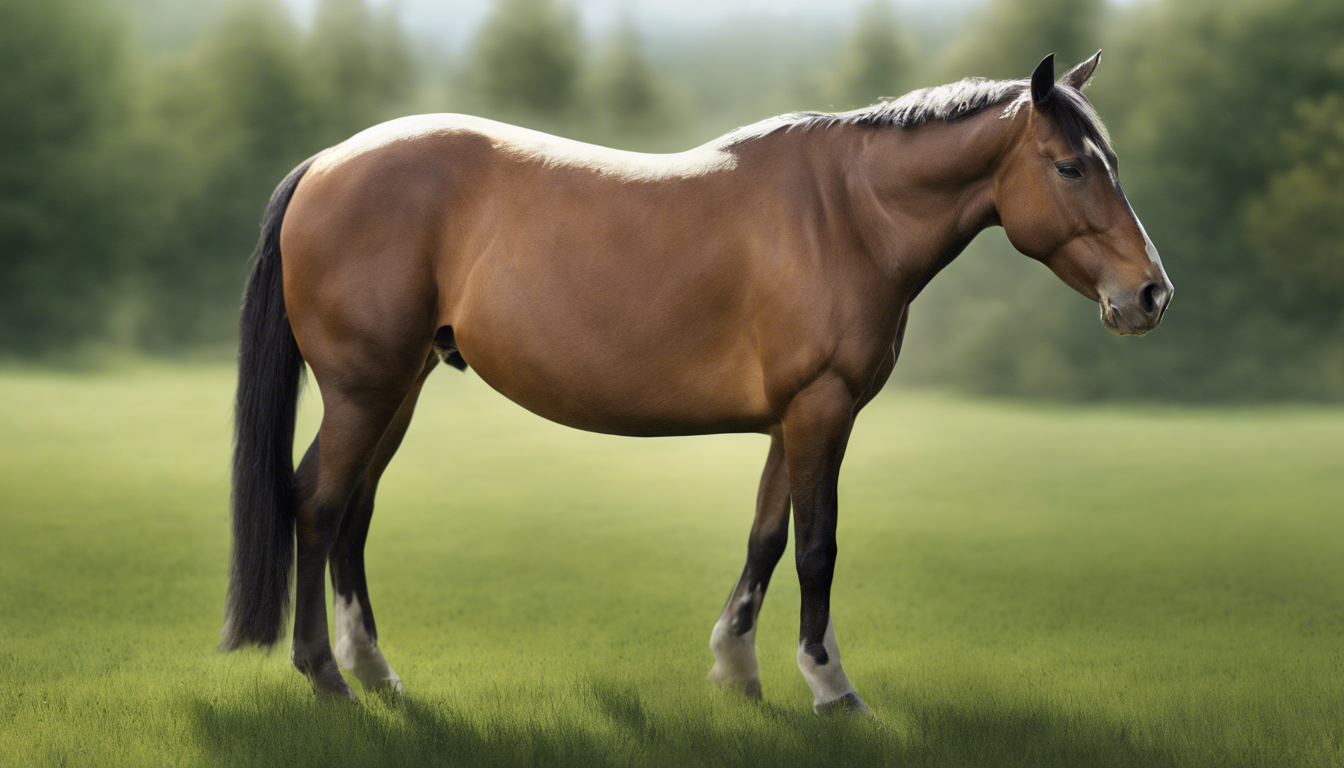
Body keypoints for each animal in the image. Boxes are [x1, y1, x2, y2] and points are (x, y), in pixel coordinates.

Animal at [221, 52, 1173, 714]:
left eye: (1112, 161)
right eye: (1071, 167)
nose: (1150, 294)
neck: (848, 216)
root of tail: (327, 162)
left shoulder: (792, 418)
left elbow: (767, 538)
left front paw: (736, 669)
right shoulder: (823, 410)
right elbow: (818, 547)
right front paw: (830, 685)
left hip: (399, 387)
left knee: (353, 513)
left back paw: (376, 673)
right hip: (365, 390)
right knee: (317, 505)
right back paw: (327, 678)